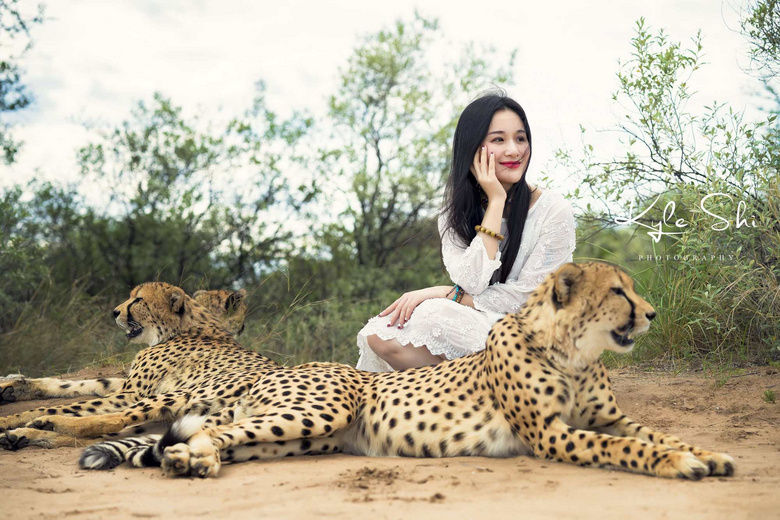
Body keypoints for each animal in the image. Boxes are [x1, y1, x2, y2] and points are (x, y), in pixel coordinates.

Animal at [82, 262, 736, 482]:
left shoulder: (611, 419)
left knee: (219, 440)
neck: (572, 353)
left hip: (304, 438)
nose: (652, 313)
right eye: (620, 292)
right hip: (319, 408)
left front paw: (708, 453)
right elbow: (631, 449)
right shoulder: (552, 435)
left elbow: (657, 433)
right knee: (210, 430)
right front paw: (681, 463)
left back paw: (190, 460)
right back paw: (189, 461)